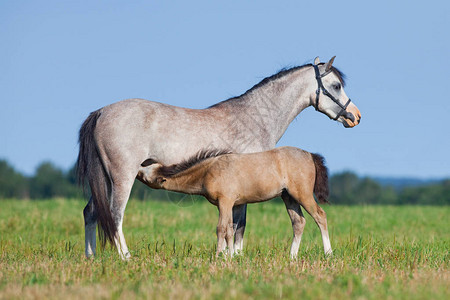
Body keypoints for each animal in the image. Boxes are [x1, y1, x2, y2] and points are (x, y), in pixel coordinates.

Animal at [76, 57, 358, 258]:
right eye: (336, 86)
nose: (355, 116)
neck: (254, 117)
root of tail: (101, 112)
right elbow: (238, 224)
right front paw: (234, 256)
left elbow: (236, 224)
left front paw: (233, 256)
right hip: (122, 177)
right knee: (115, 214)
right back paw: (125, 257)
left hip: (103, 179)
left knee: (91, 212)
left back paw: (91, 257)